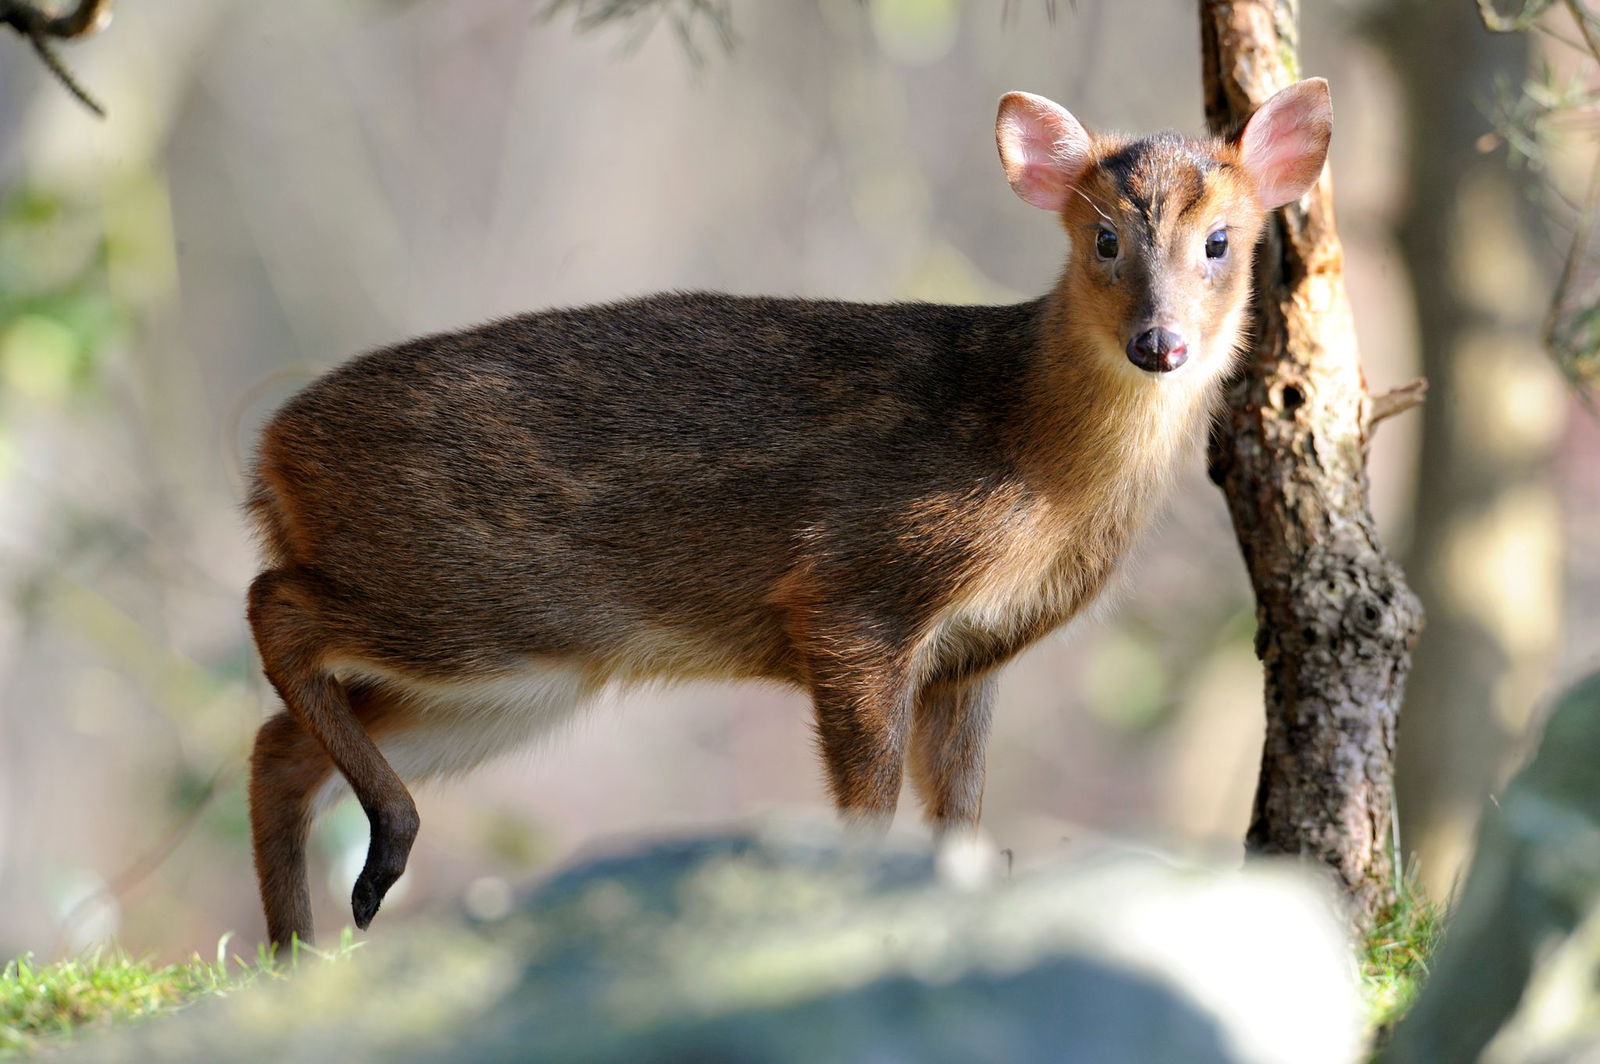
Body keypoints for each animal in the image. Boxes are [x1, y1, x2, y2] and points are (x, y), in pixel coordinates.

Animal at [243, 79, 1332, 947]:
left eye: (1221, 242)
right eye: (1104, 238)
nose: (1159, 342)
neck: (1036, 454)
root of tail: (270, 456)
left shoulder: (973, 654)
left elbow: (961, 818)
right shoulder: (857, 588)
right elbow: (870, 810)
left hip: (515, 676)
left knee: (277, 748)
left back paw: (299, 951)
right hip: (465, 592)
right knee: (273, 608)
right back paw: (381, 856)